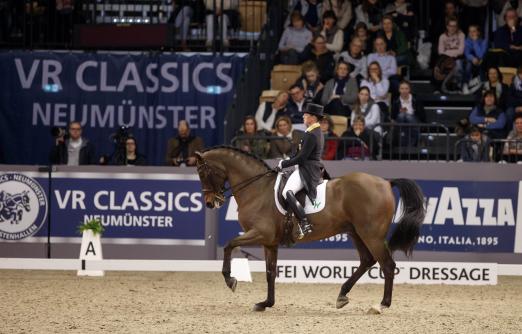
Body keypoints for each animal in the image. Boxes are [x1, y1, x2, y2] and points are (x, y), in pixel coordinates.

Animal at [193, 146, 424, 314]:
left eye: (203, 172)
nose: (210, 203)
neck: (257, 190)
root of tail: (386, 183)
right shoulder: (270, 242)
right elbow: (270, 273)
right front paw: (265, 303)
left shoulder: (260, 233)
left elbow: (229, 245)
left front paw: (230, 279)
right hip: (356, 232)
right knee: (367, 261)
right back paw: (342, 296)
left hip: (371, 234)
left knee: (387, 265)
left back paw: (381, 305)